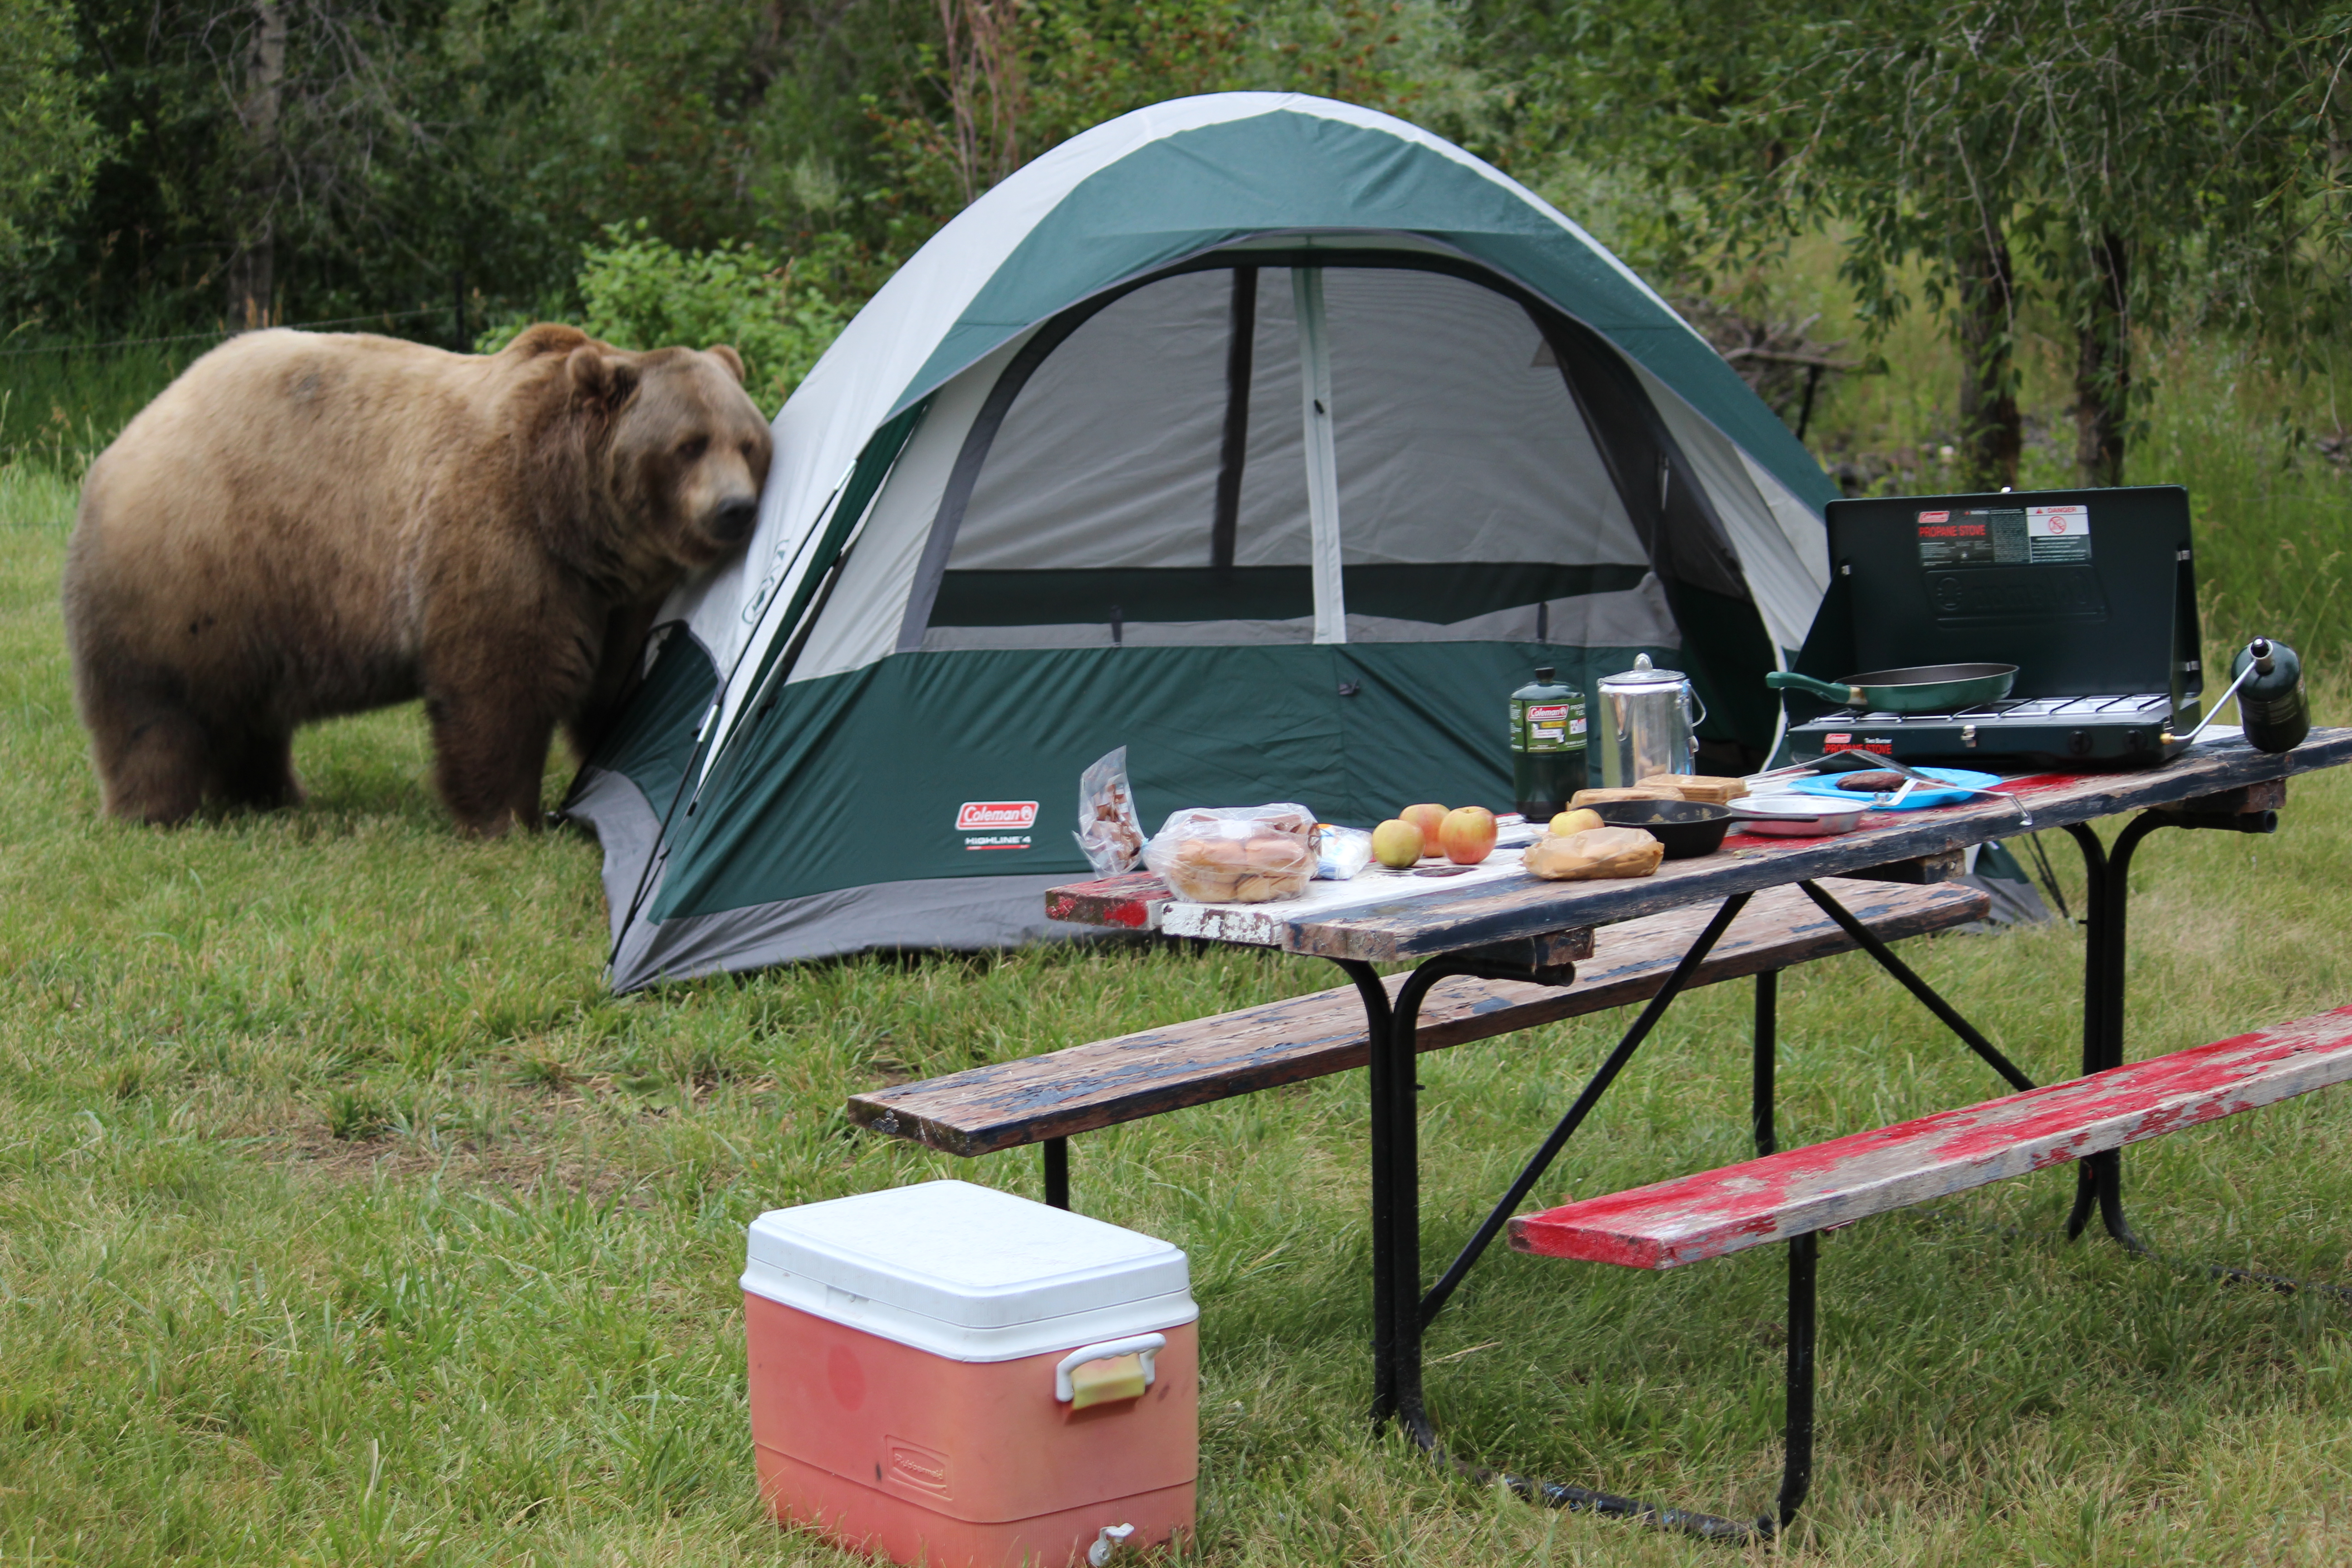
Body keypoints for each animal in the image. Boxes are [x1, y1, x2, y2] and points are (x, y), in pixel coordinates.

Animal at [62, 322, 771, 832]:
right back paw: (155, 812)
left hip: (248, 610)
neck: (579, 521)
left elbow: (622, 686)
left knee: (247, 718)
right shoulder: (503, 541)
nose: (735, 509)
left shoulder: (620, 596)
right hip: (185, 574)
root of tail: (124, 440)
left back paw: (271, 795)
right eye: (688, 445)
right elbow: (500, 685)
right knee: (152, 713)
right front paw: (506, 818)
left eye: (748, 443)